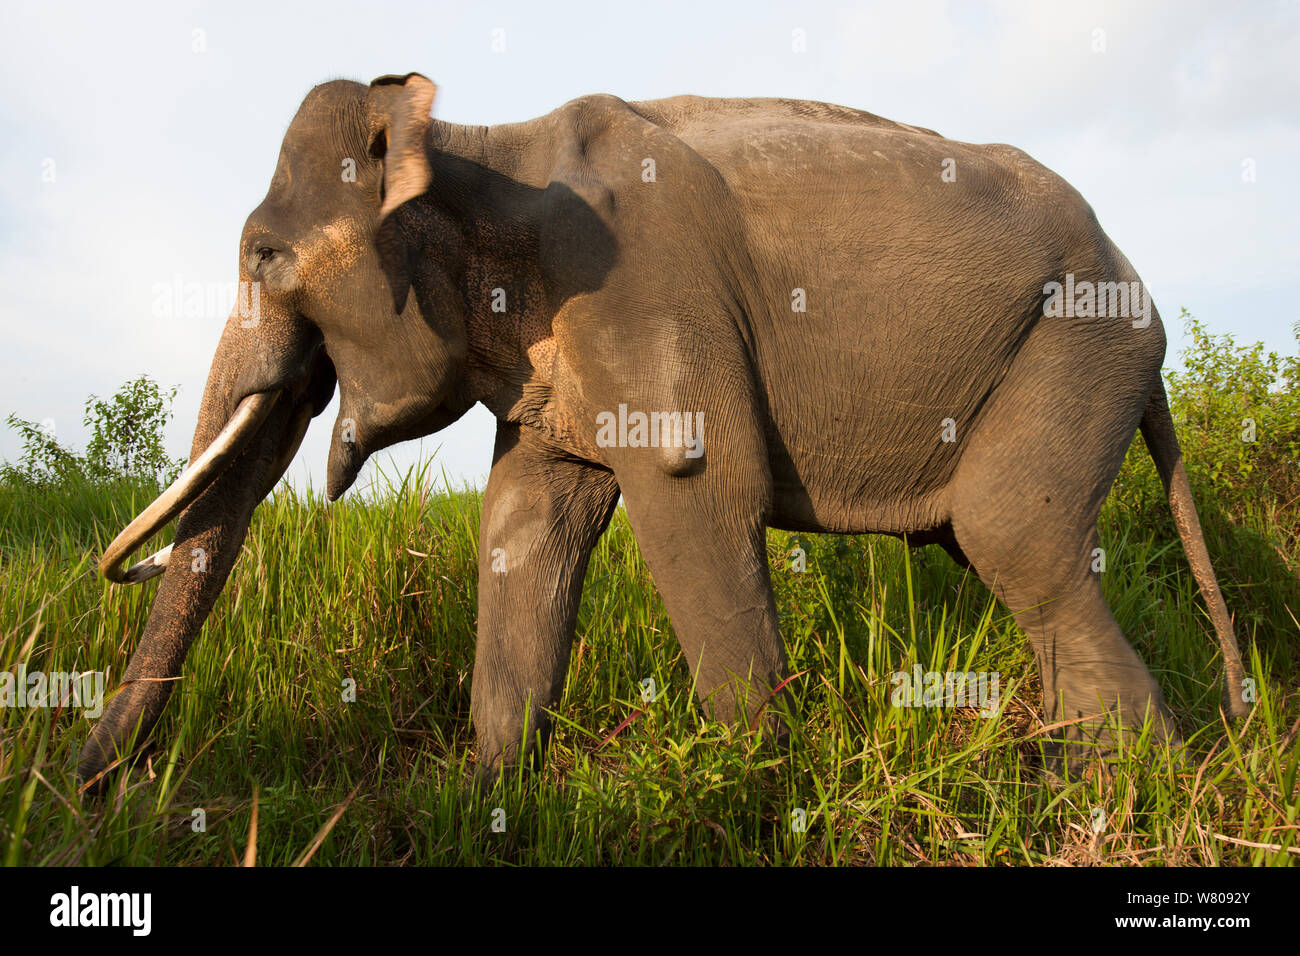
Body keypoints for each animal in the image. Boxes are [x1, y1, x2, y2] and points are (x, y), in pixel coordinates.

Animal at [76, 74, 1242, 790]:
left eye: (263, 256)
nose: (87, 786)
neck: (475, 144)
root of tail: (1137, 282)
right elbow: (525, 527)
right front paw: (491, 791)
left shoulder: (643, 294)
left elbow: (695, 487)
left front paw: (756, 792)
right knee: (1006, 554)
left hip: (1078, 343)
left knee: (1015, 541)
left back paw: (1131, 793)